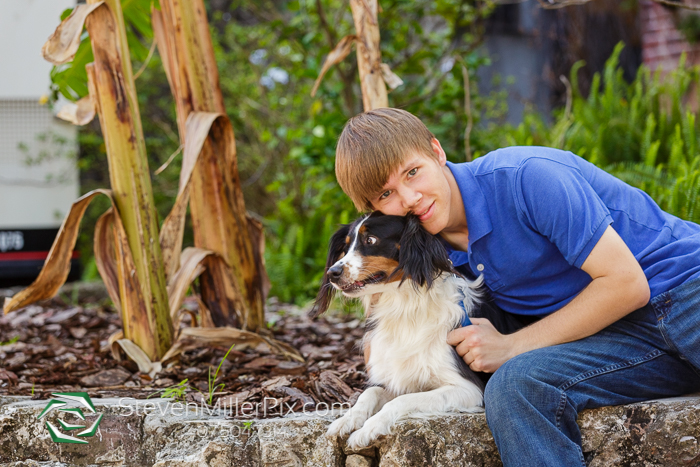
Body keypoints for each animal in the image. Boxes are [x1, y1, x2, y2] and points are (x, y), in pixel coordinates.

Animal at [308, 211, 484, 450]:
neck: (404, 306)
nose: (332, 272)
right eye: (346, 246)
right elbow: (370, 392)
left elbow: (402, 400)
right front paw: (347, 419)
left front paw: (369, 428)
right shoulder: (399, 377)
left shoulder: (469, 389)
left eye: (370, 240)